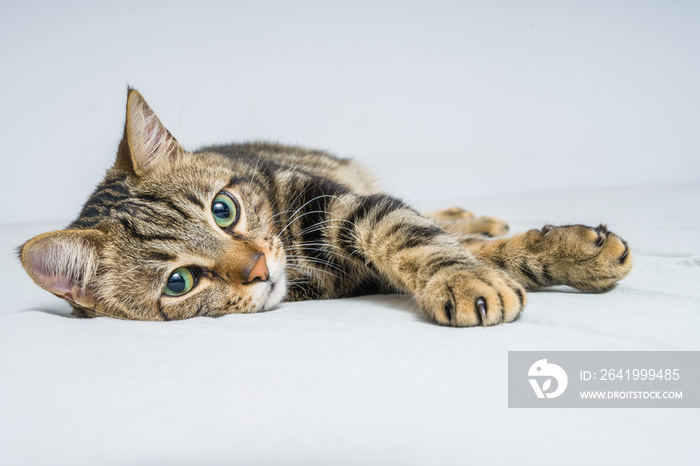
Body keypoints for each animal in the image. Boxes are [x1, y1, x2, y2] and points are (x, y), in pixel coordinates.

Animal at [19, 89, 636, 326]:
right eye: (178, 283)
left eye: (223, 210)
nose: (258, 268)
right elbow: (460, 247)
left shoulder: (342, 203)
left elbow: (414, 232)